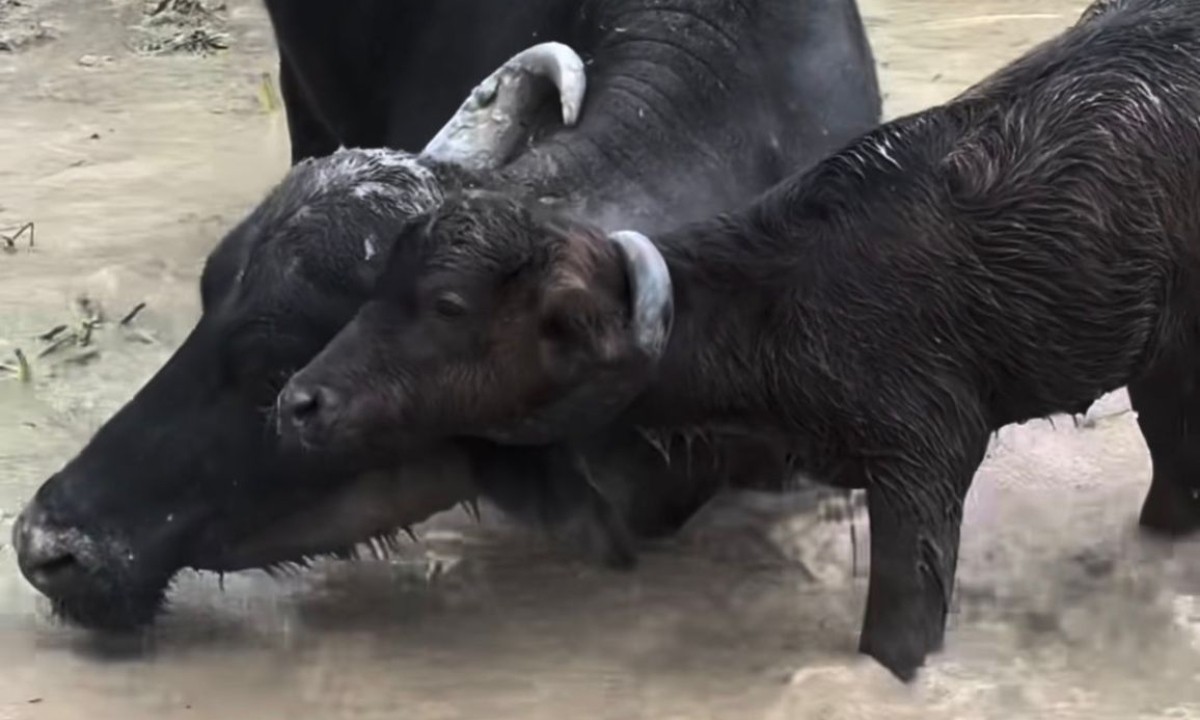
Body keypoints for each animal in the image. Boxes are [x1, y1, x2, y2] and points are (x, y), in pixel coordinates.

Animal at [279, 0, 1200, 682]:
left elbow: (897, 639)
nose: (299, 401)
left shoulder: (924, 465)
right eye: (380, 283)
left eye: (447, 304)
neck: (784, 309)